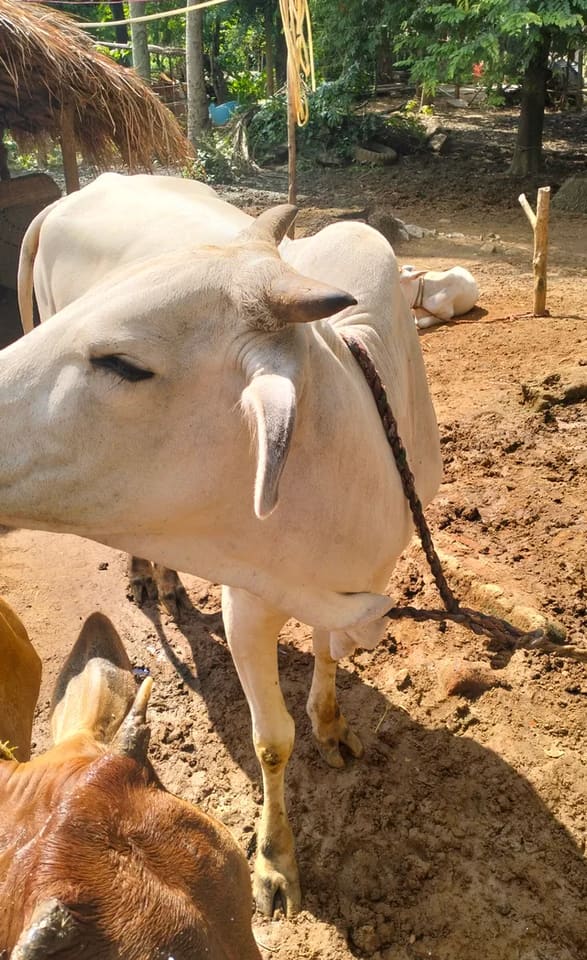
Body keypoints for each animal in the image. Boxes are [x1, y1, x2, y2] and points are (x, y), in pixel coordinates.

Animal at [6, 173, 443, 916]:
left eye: (123, 363)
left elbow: (327, 661)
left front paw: (331, 725)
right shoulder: (249, 604)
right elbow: (272, 743)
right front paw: (274, 863)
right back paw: (148, 575)